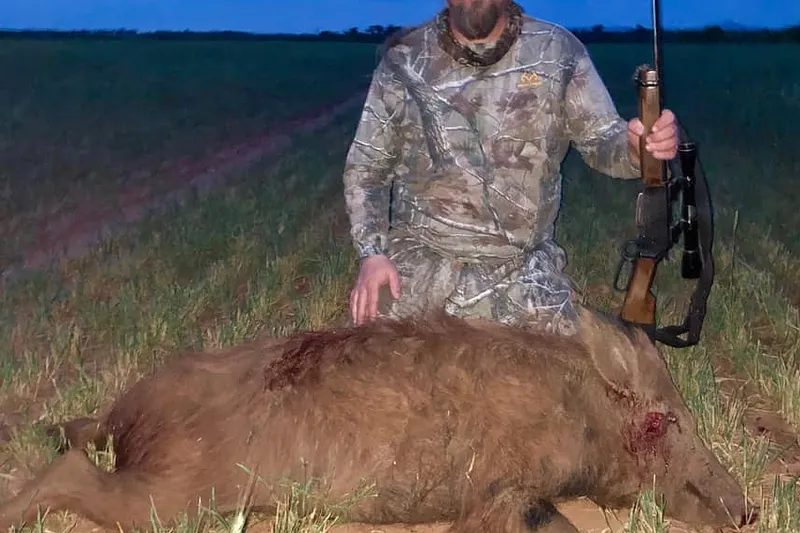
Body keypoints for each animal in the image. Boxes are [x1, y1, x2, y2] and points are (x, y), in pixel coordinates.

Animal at [0, 307, 757, 533]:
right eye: (663, 422)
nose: (748, 509)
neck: (581, 415)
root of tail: (131, 411)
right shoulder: (501, 492)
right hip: (175, 495)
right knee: (68, 472)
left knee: (74, 439)